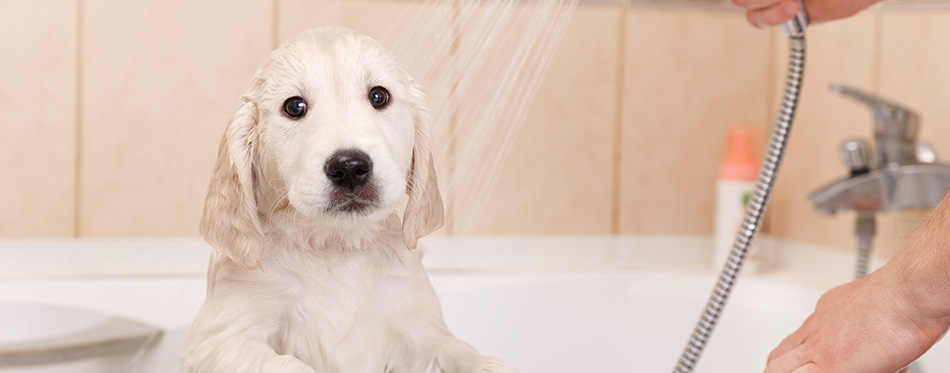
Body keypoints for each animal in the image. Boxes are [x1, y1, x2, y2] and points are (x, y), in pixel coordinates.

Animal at [181, 26, 516, 372]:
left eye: (379, 96)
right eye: (294, 106)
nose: (350, 168)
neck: (335, 247)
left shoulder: (421, 328)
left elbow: (460, 352)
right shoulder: (220, 341)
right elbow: (288, 364)